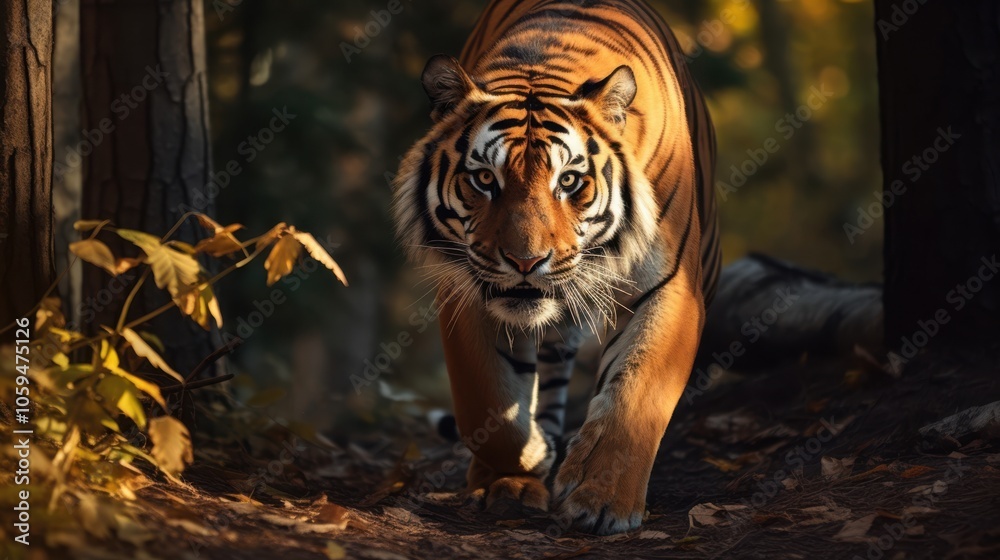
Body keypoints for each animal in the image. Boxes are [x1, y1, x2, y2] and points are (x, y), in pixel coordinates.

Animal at [392, 0, 719, 535]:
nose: (525, 261)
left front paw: (602, 500)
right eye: (485, 179)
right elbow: (486, 403)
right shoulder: (464, 289)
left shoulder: (672, 287)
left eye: (568, 181)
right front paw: (527, 462)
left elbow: (637, 392)